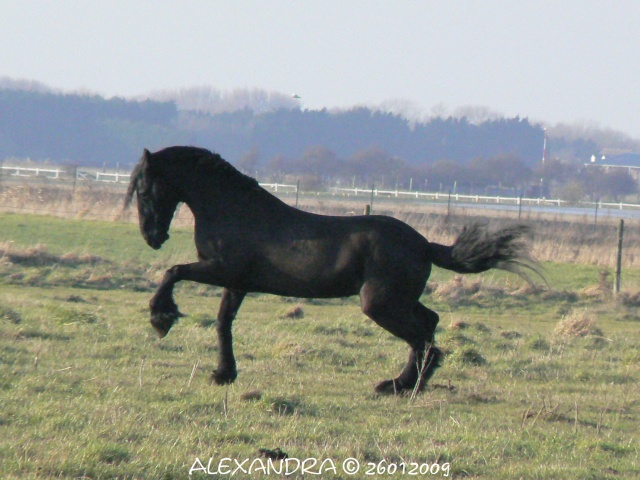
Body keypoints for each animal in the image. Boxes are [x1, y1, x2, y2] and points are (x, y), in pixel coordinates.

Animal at [124, 146, 536, 394]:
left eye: (144, 190)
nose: (151, 237)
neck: (234, 210)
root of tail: (424, 244)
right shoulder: (236, 282)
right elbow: (224, 323)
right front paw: (224, 373)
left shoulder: (221, 269)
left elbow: (173, 272)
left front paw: (161, 317)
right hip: (398, 301)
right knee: (429, 325)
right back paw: (409, 385)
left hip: (379, 304)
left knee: (423, 340)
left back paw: (396, 386)